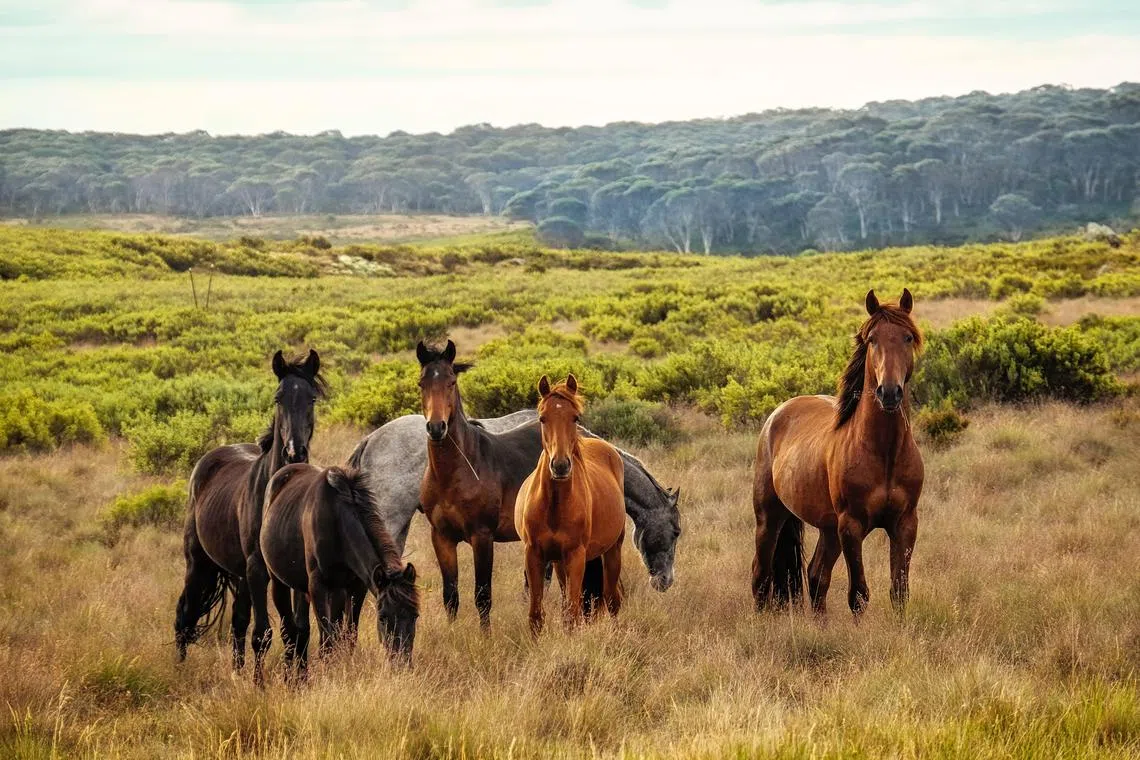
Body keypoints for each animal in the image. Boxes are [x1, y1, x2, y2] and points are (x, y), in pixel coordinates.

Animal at [174, 349, 323, 673]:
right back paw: (179, 668)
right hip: (199, 564)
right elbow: (264, 634)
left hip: (239, 574)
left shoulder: (292, 573)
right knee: (185, 614)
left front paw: (298, 677)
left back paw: (237, 671)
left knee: (238, 621)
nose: (295, 451)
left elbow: (298, 630)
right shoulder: (257, 569)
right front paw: (261, 682)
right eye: (278, 397)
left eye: (312, 398)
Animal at [260, 464, 419, 679]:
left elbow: (348, 635)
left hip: (319, 590)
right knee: (289, 631)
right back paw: (291, 679)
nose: (402, 665)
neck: (337, 521)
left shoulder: (356, 587)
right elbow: (327, 641)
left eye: (415, 616)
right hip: (280, 583)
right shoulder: (317, 586)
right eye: (382, 618)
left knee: (303, 629)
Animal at [515, 375, 625, 634]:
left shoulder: (576, 556)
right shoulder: (534, 554)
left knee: (612, 599)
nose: (560, 466)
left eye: (575, 417)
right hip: (558, 562)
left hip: (612, 550)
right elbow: (536, 615)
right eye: (542, 418)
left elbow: (572, 614)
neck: (554, 506)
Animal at [751, 289, 924, 617]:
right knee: (761, 575)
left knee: (816, 575)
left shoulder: (905, 524)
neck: (884, 452)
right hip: (770, 517)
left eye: (908, 337)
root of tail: (777, 414)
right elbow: (859, 594)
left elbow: (900, 591)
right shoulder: (851, 527)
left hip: (828, 528)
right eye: (872, 340)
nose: (889, 392)